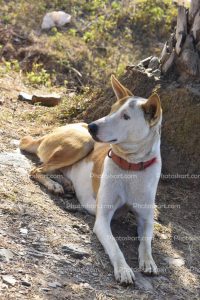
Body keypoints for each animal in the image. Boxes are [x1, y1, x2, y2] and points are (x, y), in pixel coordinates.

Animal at [19, 76, 162, 284]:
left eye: (126, 117)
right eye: (111, 110)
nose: (92, 126)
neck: (130, 166)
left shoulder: (145, 219)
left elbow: (146, 242)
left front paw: (149, 262)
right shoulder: (102, 219)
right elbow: (115, 246)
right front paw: (123, 269)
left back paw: (65, 182)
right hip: (84, 143)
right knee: (37, 169)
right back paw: (54, 184)